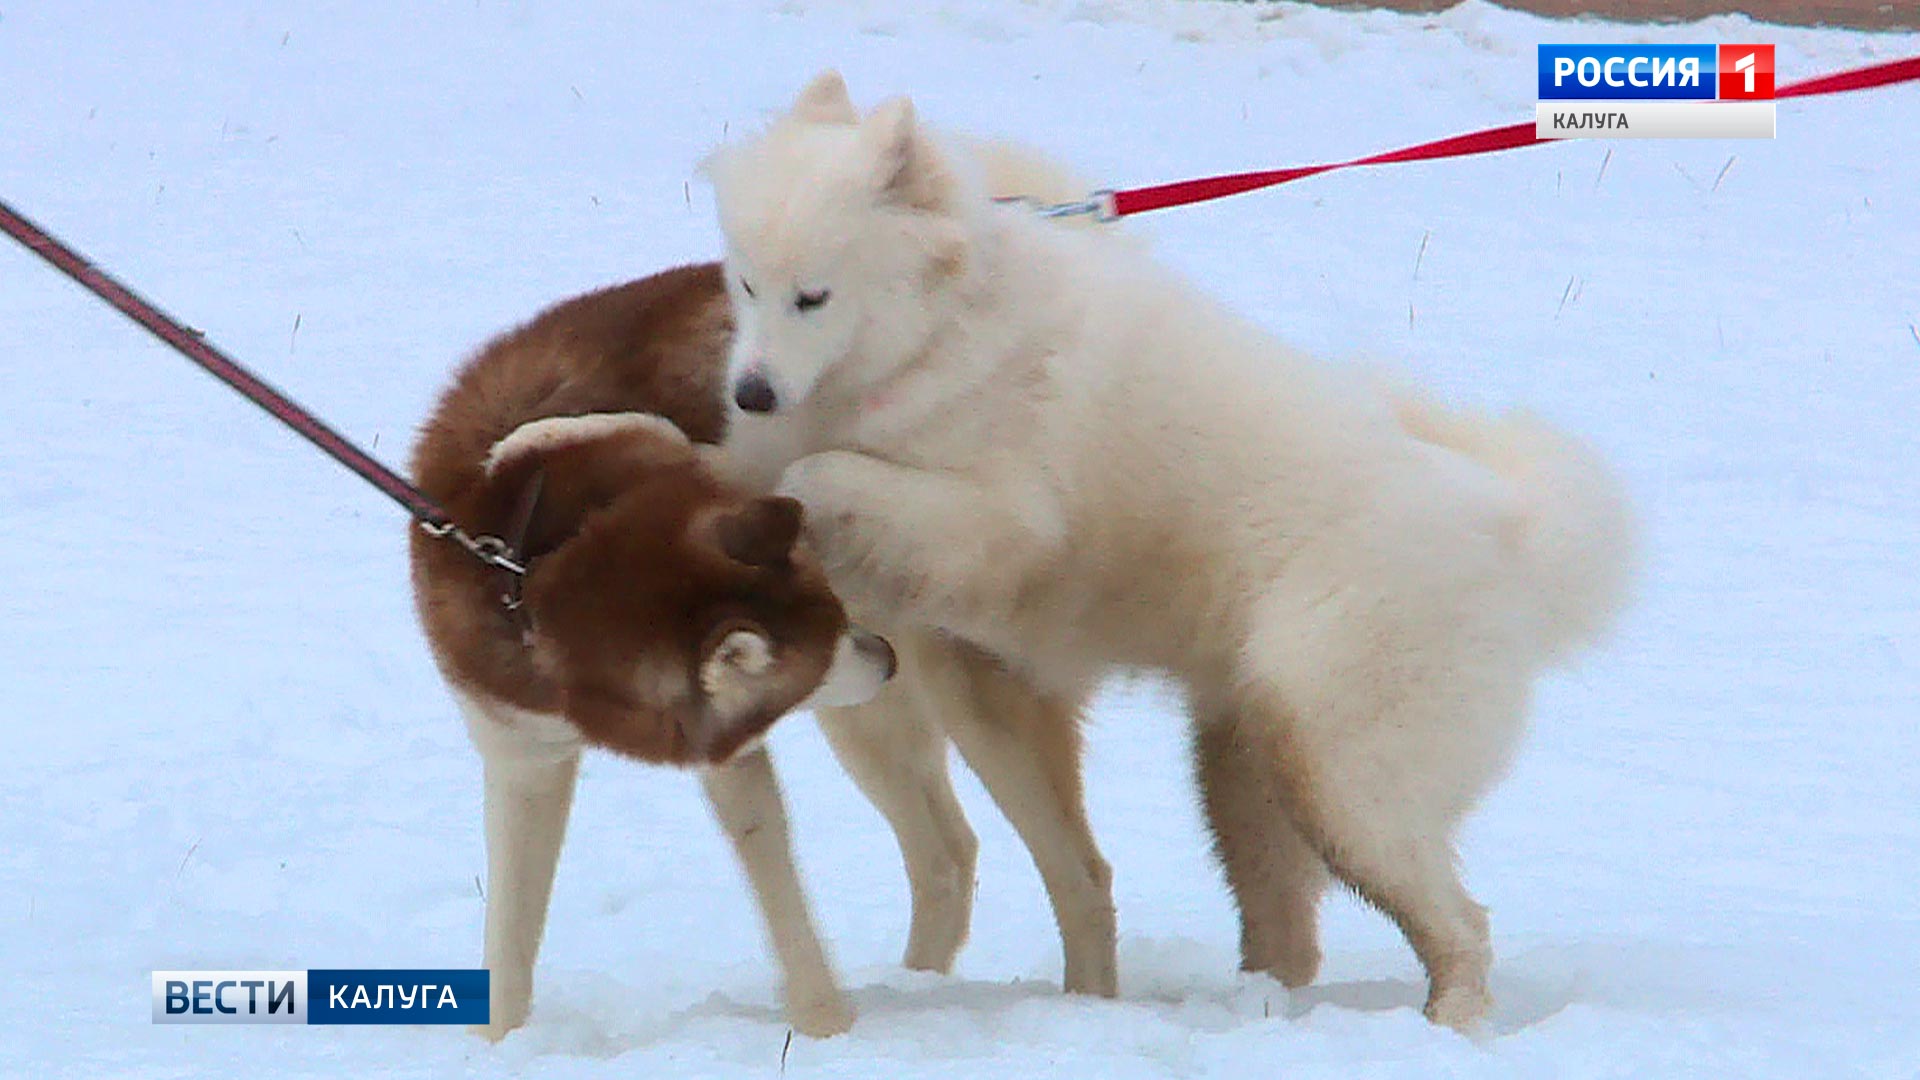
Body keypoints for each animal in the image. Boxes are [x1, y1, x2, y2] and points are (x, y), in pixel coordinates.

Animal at [706, 73, 1635, 1022]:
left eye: (812, 296)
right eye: (746, 284)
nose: (752, 392)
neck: (942, 332)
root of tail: (1510, 527)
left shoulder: (1000, 519)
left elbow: (825, 473)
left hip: (1336, 766)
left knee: (1459, 925)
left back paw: (1446, 1022)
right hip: (1249, 775)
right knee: (1291, 932)